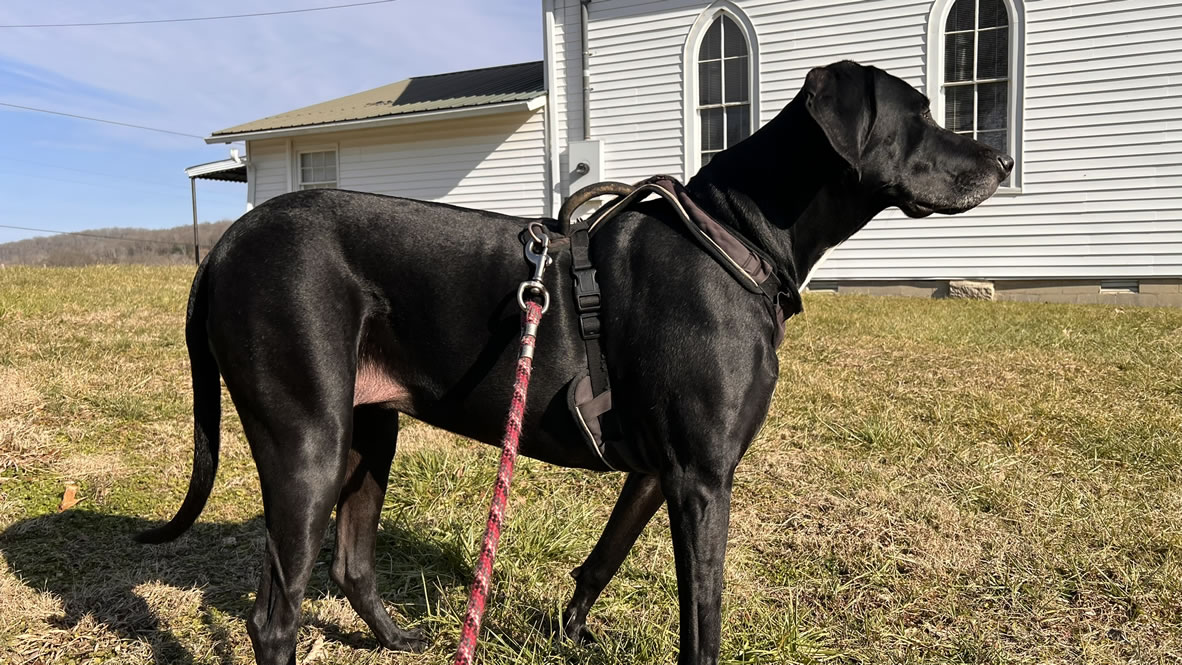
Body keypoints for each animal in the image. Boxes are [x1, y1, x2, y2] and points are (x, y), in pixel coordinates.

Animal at [135, 62, 1007, 665]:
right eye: (921, 115)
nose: (999, 160)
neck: (738, 236)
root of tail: (223, 250)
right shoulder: (703, 479)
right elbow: (702, 622)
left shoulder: (661, 471)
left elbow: (603, 559)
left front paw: (570, 629)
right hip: (307, 439)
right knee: (273, 614)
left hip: (368, 429)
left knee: (349, 564)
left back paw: (402, 639)